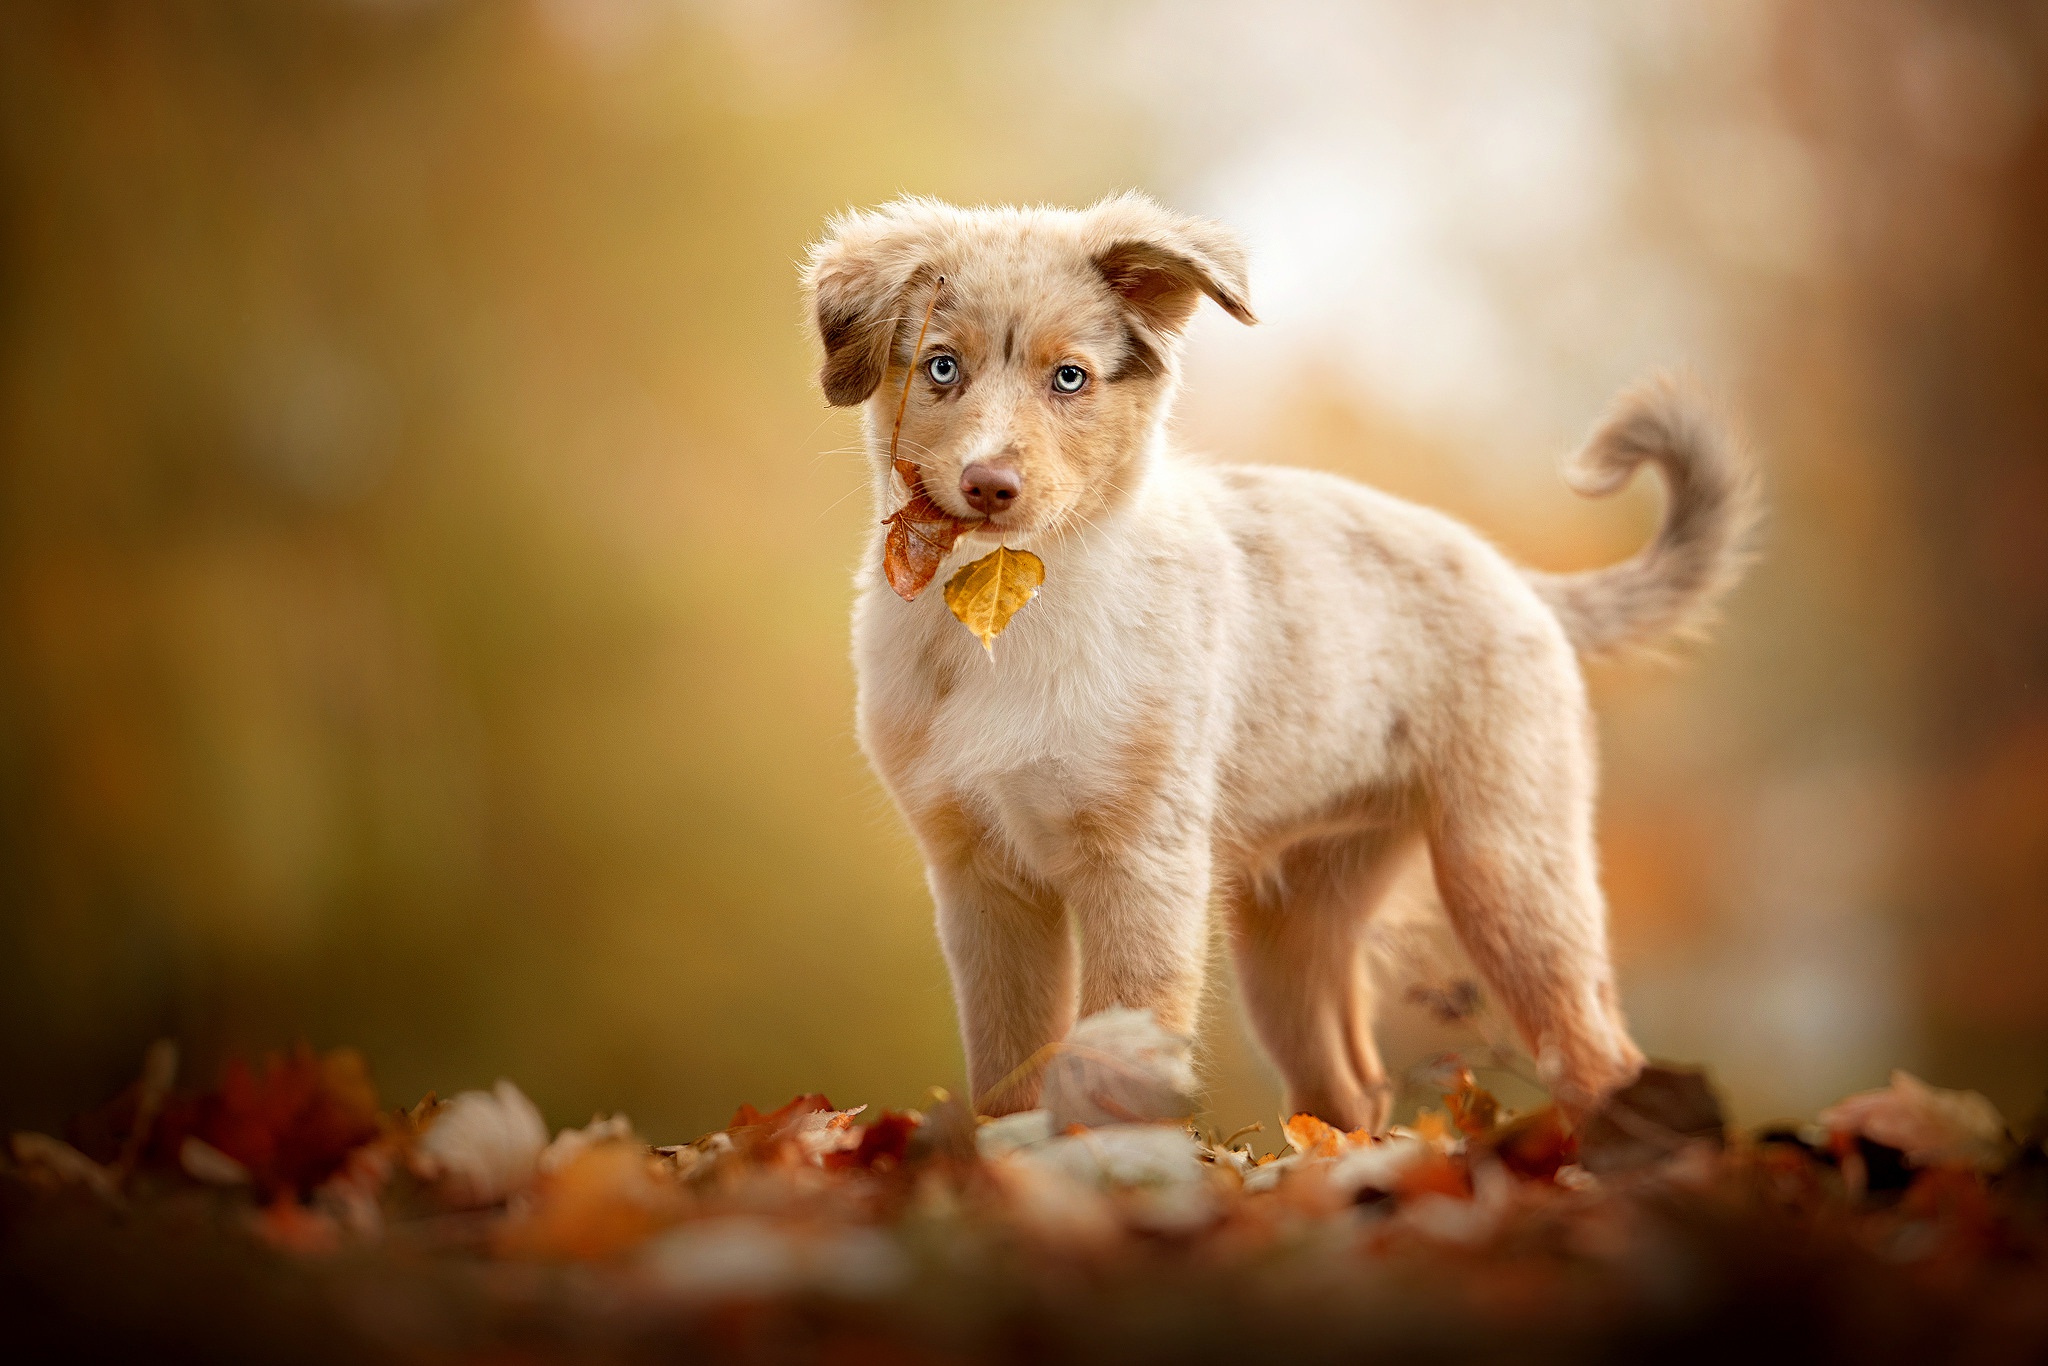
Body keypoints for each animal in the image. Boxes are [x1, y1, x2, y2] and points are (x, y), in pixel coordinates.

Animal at [798, 192, 1761, 1130]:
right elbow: (1007, 1074)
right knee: (1349, 1091)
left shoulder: (1143, 866)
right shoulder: (981, 880)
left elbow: (1113, 1061)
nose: (990, 486)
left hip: (1509, 865)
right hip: (1295, 920)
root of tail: (1517, 579)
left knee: (1597, 1056)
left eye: (1069, 377)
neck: (1007, 613)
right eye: (941, 368)